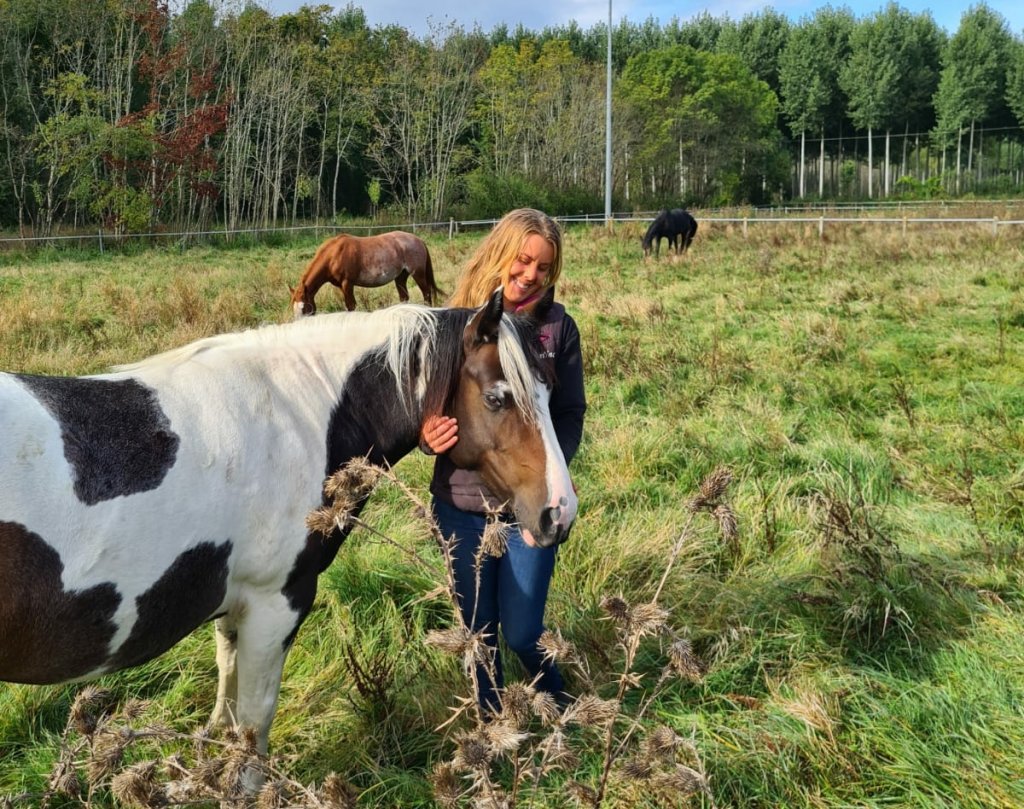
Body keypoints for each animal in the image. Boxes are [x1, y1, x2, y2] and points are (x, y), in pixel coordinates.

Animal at [0, 288, 576, 768]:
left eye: (551, 393)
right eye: (499, 398)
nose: (560, 513)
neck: (298, 412)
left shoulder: (234, 606)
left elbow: (227, 694)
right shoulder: (275, 604)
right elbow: (254, 726)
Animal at [290, 230, 442, 317]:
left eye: (304, 308)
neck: (334, 254)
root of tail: (419, 240)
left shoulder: (348, 284)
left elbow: (351, 306)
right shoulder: (341, 286)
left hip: (418, 274)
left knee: (427, 294)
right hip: (400, 277)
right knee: (404, 297)